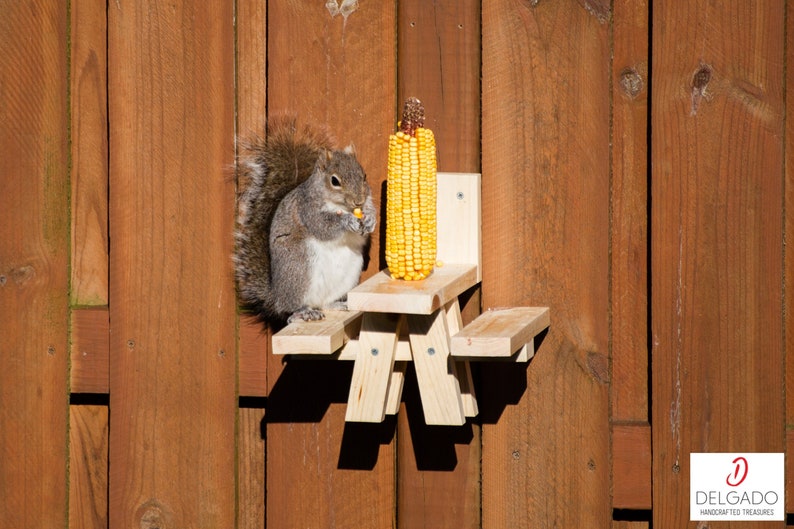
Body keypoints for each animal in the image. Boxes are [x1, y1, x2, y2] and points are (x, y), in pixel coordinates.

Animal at [234, 118, 377, 325]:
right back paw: (303, 312)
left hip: (349, 273)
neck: (340, 205)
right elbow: (323, 226)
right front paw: (347, 221)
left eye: (364, 176)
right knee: (290, 310)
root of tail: (276, 297)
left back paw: (337, 305)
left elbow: (369, 213)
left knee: (325, 303)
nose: (358, 201)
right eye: (335, 181)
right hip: (300, 267)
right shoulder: (307, 210)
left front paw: (370, 220)